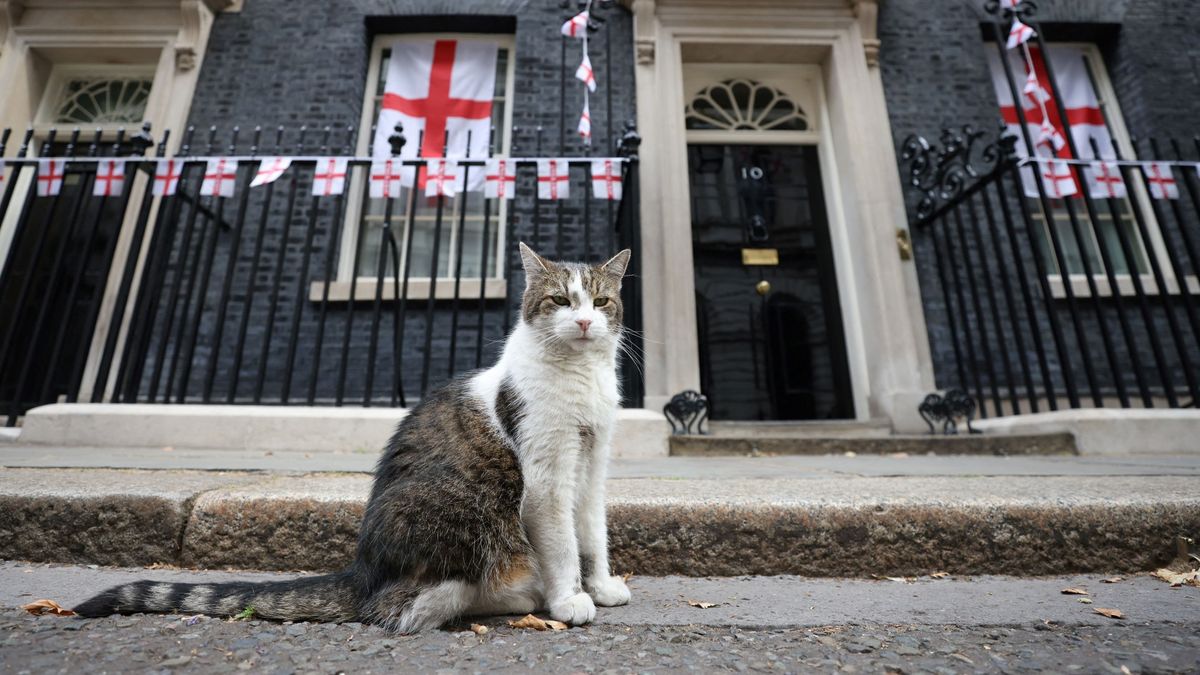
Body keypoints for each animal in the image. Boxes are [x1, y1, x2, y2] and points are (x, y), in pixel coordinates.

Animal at [72, 242, 638, 629]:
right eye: (561, 300)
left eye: (601, 301)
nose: (584, 322)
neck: (581, 377)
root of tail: (363, 568)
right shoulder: (546, 475)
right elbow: (562, 543)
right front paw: (569, 599)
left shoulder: (592, 462)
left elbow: (592, 532)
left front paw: (601, 586)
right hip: (463, 511)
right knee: (395, 606)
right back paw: (513, 597)